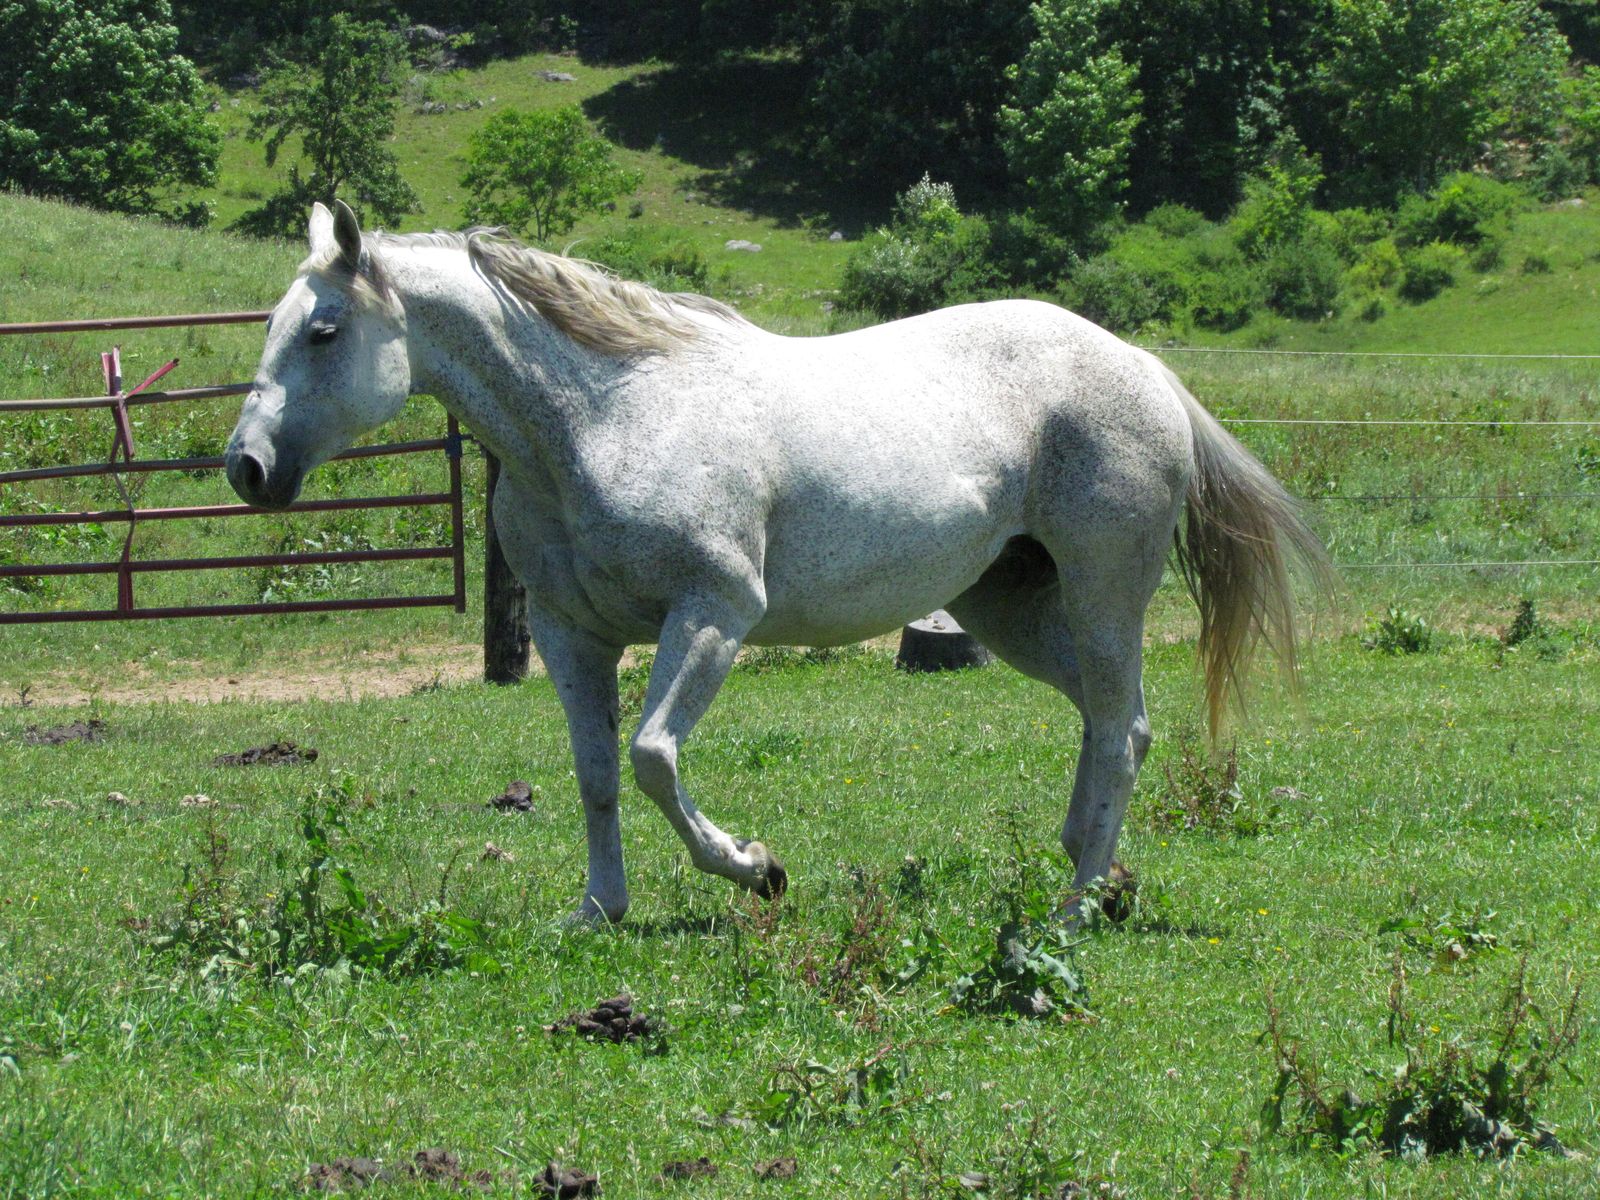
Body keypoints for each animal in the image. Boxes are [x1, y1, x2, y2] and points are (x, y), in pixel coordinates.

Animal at [226, 201, 1329, 924]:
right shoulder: (569, 634)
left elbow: (652, 757)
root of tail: (1146, 368)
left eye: (324, 331)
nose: (247, 467)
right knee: (1110, 724)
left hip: (1101, 596)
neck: (604, 414)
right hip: (1008, 609)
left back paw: (1072, 907)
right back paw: (1086, 872)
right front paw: (599, 910)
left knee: (1122, 728)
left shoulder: (714, 612)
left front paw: (756, 867)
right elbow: (595, 773)